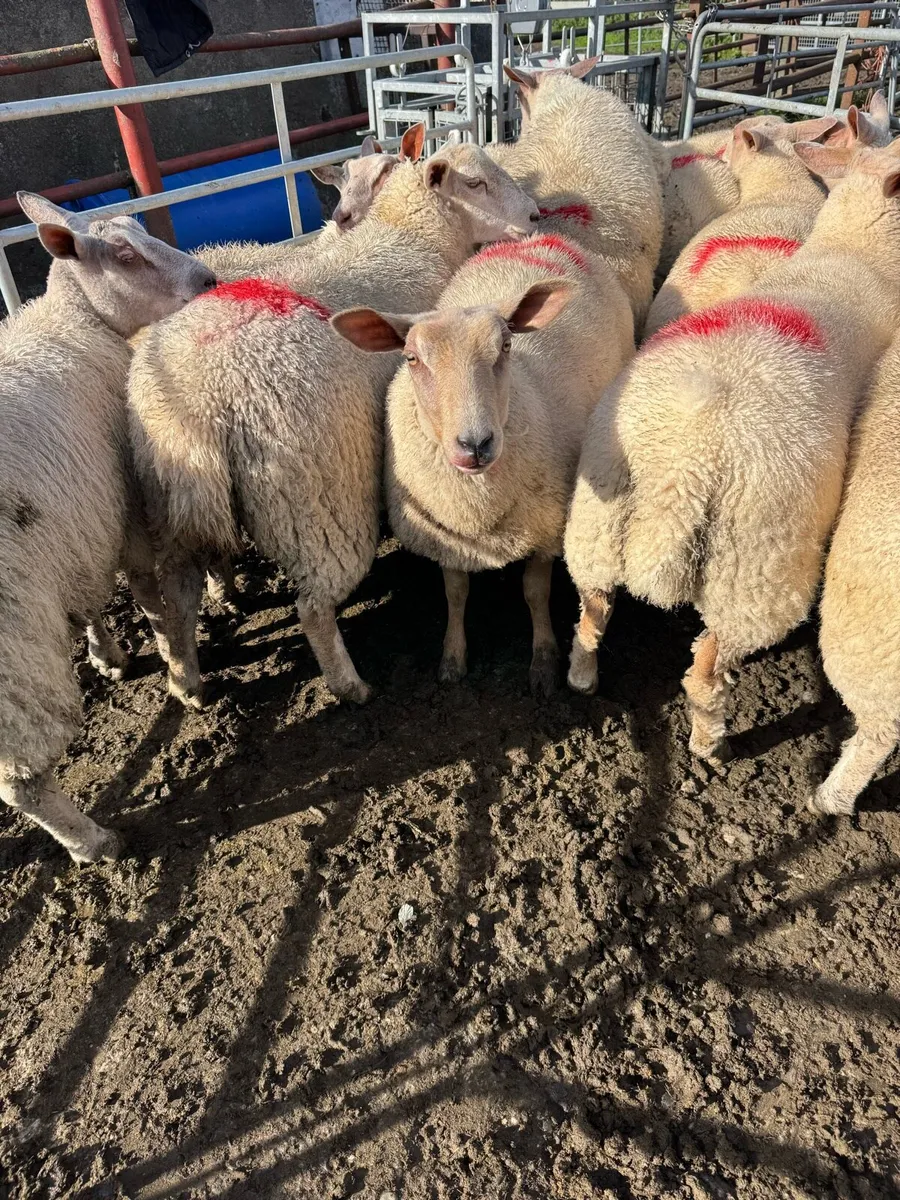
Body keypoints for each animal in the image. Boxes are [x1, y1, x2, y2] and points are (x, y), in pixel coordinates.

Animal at [0, 193, 216, 863]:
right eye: (124, 255)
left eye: (141, 231)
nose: (209, 281)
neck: (77, 321)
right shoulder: (122, 509)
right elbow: (143, 590)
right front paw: (160, 645)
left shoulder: (78, 528)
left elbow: (90, 595)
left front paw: (106, 653)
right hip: (15, 657)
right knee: (22, 785)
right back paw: (93, 843)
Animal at [129, 125, 540, 710]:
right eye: (476, 183)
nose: (534, 216)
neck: (410, 235)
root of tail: (199, 401)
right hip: (317, 500)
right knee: (313, 606)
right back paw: (351, 686)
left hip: (167, 498)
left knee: (179, 597)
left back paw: (187, 684)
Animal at [332, 231, 634, 695]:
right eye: (411, 358)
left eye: (506, 346)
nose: (475, 444)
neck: (477, 512)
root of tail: (546, 237)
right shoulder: (446, 534)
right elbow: (456, 594)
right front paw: (452, 659)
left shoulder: (544, 529)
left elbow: (534, 593)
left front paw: (543, 663)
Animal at [563, 139, 900, 766]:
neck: (854, 253)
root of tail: (683, 469)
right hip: (754, 569)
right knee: (706, 673)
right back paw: (709, 746)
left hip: (597, 519)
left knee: (591, 615)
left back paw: (583, 678)